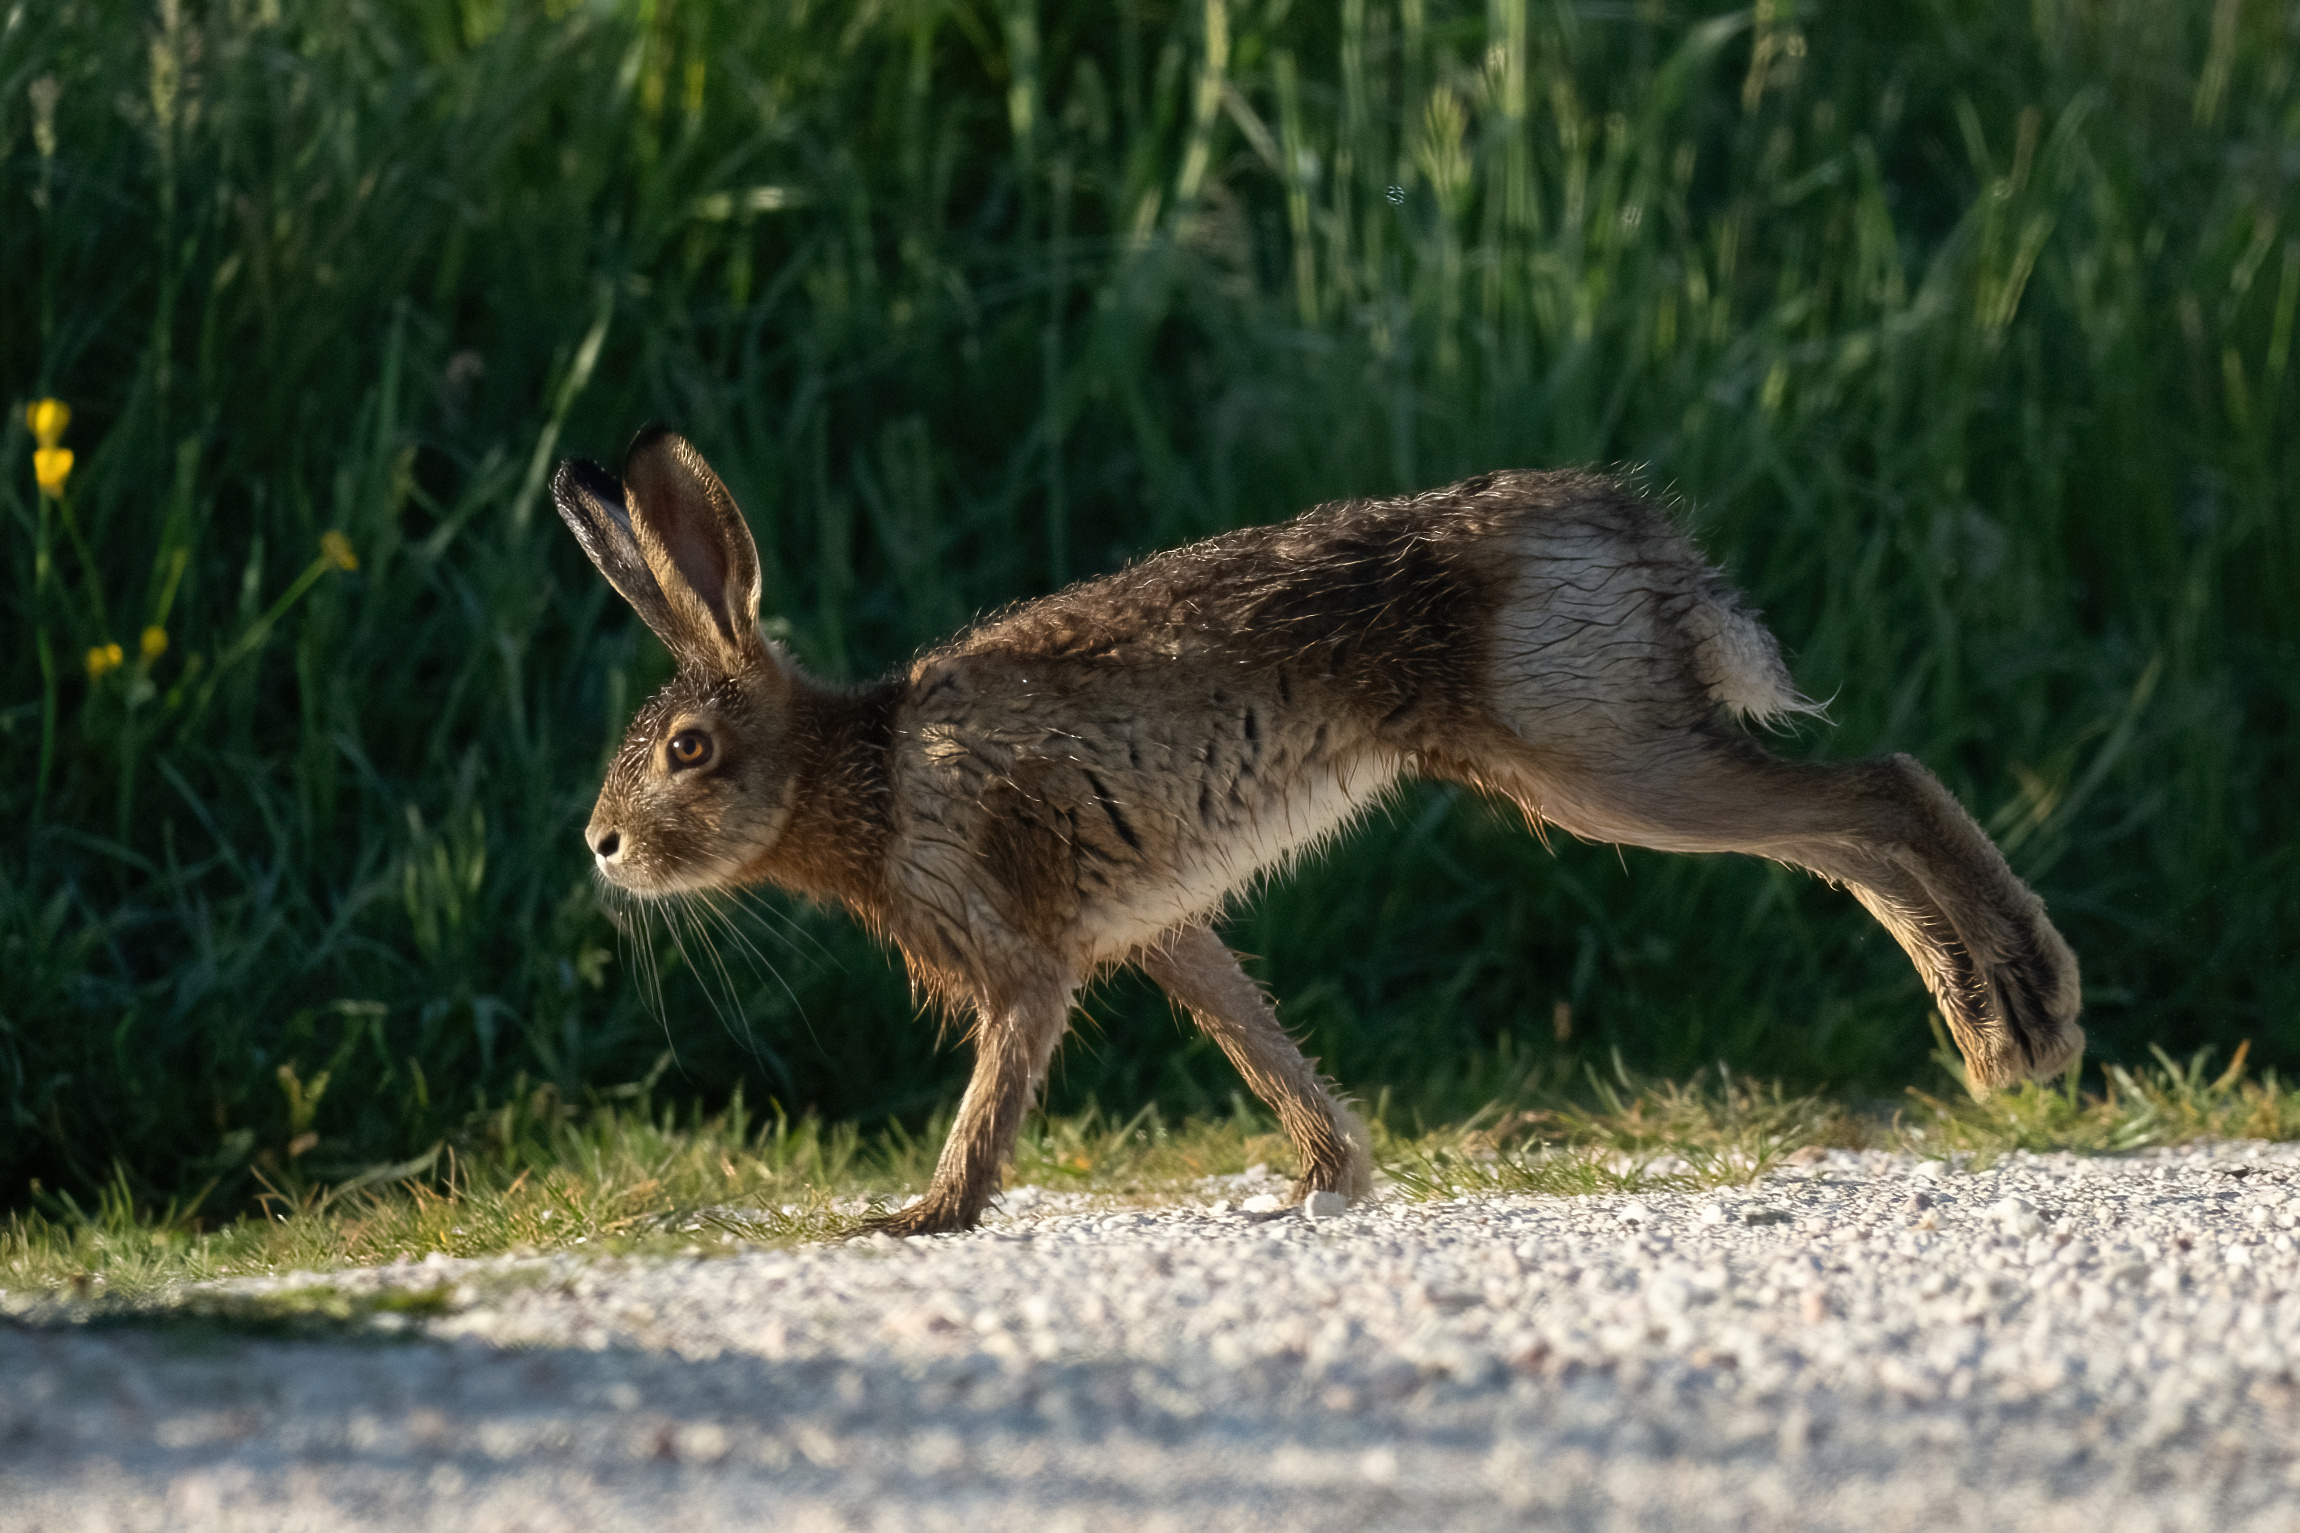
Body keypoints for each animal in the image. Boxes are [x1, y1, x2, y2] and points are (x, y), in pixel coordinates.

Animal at [553, 427, 2083, 1236]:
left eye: (688, 752)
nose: (601, 848)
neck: (855, 770)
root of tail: (1632, 535)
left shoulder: (1021, 952)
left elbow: (998, 1086)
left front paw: (923, 1216)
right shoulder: (1160, 926)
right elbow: (1258, 1040)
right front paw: (1325, 1181)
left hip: (1595, 757)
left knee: (1874, 791)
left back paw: (2019, 1022)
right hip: (1605, 756)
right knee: (1853, 827)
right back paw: (1999, 1025)